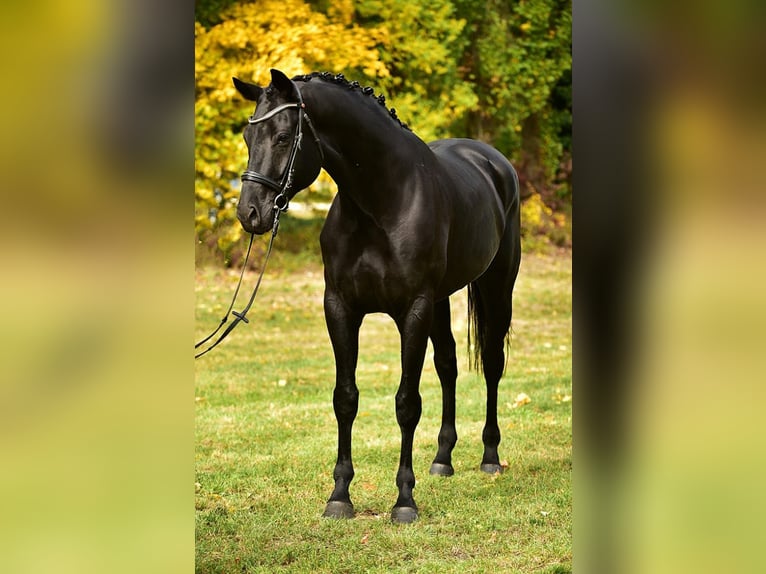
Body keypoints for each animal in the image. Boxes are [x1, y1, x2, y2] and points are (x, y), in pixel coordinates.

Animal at [232, 69, 521, 523]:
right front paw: (339, 497)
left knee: (491, 363)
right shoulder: (340, 309)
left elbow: (407, 403)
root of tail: (494, 161)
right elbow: (345, 398)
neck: (382, 201)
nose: (250, 213)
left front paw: (404, 501)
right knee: (448, 366)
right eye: (247, 136)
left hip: (497, 286)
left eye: (282, 136)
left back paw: (490, 456)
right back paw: (442, 459)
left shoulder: (413, 311)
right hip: (441, 301)